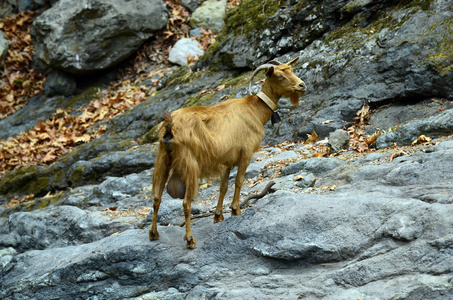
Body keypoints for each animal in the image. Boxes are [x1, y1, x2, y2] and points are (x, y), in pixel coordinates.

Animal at [150, 56, 306, 248]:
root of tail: (170, 126)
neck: (255, 110)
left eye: (291, 69)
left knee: (156, 198)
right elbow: (239, 181)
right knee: (186, 202)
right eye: (279, 76)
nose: (302, 85)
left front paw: (218, 216)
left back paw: (153, 234)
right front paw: (235, 209)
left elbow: (223, 187)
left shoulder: (227, 161)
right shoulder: (246, 152)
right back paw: (190, 240)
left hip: (163, 158)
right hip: (190, 164)